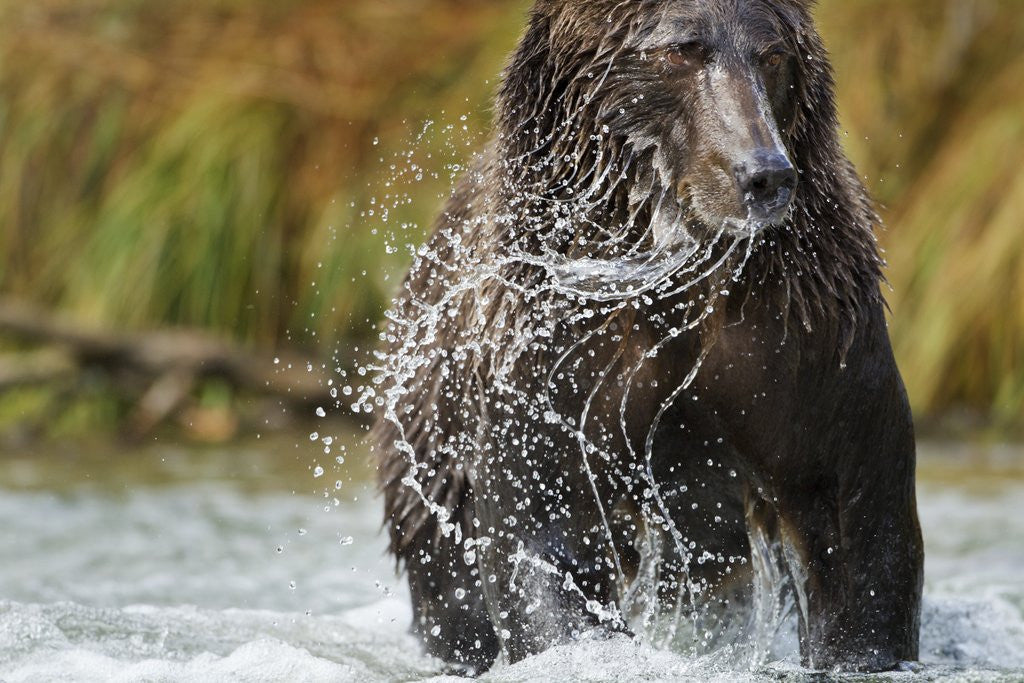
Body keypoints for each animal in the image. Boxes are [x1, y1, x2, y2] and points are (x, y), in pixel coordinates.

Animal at [368, 0, 923, 675]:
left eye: (773, 55)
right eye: (682, 49)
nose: (764, 175)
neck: (679, 270)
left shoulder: (808, 337)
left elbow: (856, 534)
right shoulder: (549, 350)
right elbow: (542, 532)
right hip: (428, 448)